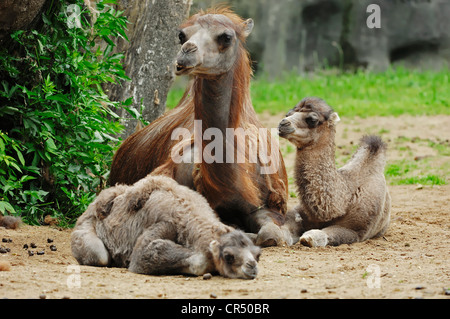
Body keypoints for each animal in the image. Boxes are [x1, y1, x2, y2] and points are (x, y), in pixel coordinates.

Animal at [70, 175, 260, 280]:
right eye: (228, 256)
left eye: (258, 254)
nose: (252, 266)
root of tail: (91, 205)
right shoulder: (165, 224)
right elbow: (145, 254)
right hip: (84, 229)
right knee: (99, 256)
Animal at [278, 97, 390, 248]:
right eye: (288, 113)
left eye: (312, 119)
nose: (283, 123)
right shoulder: (300, 212)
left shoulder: (355, 230)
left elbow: (317, 235)